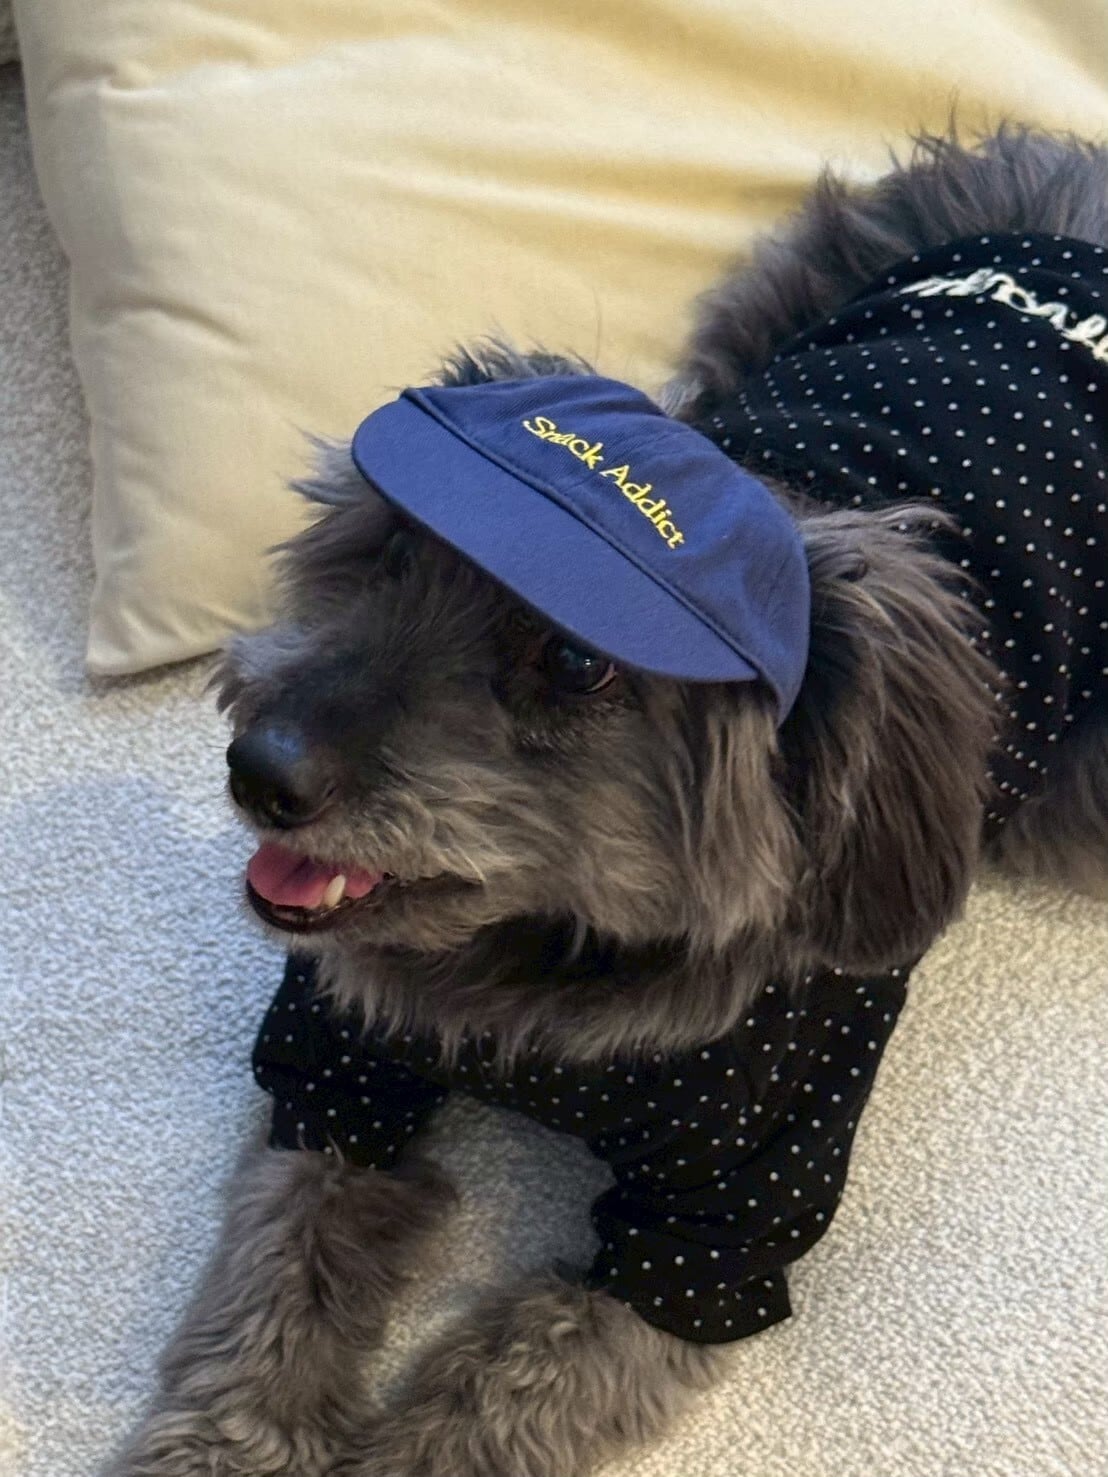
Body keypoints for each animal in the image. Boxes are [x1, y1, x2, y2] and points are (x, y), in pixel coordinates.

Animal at [108, 125, 1108, 1477]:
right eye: (389, 553)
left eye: (576, 662)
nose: (260, 767)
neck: (540, 974)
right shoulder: (335, 1071)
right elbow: (272, 1285)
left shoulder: (718, 1231)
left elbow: (506, 1387)